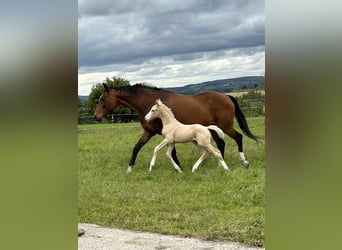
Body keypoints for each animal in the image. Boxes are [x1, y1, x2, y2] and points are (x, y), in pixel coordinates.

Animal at [93, 83, 256, 172]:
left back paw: (244, 162)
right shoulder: (149, 132)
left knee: (238, 137)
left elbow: (172, 152)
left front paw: (179, 168)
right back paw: (218, 164)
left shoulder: (165, 135)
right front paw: (130, 169)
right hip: (215, 129)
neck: (146, 102)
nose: (96, 116)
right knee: (220, 144)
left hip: (225, 126)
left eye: (103, 99)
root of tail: (227, 96)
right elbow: (136, 148)